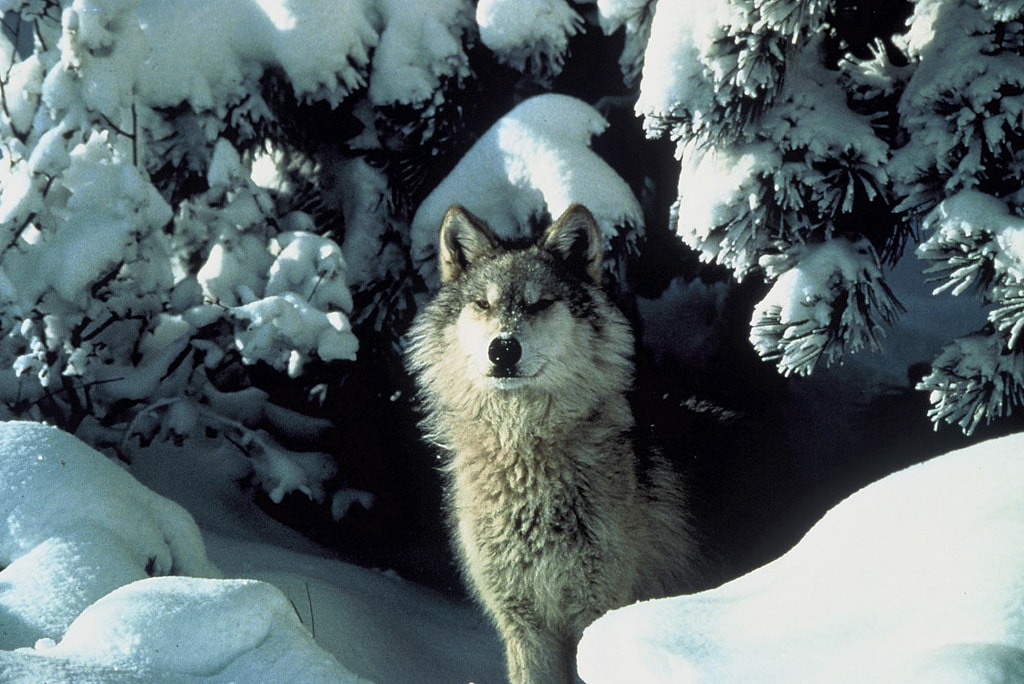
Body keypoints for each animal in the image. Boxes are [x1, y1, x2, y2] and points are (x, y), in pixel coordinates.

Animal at [405, 204, 704, 684]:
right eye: (483, 304)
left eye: (539, 303)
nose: (503, 349)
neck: (523, 457)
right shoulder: (524, 625)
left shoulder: (596, 613)